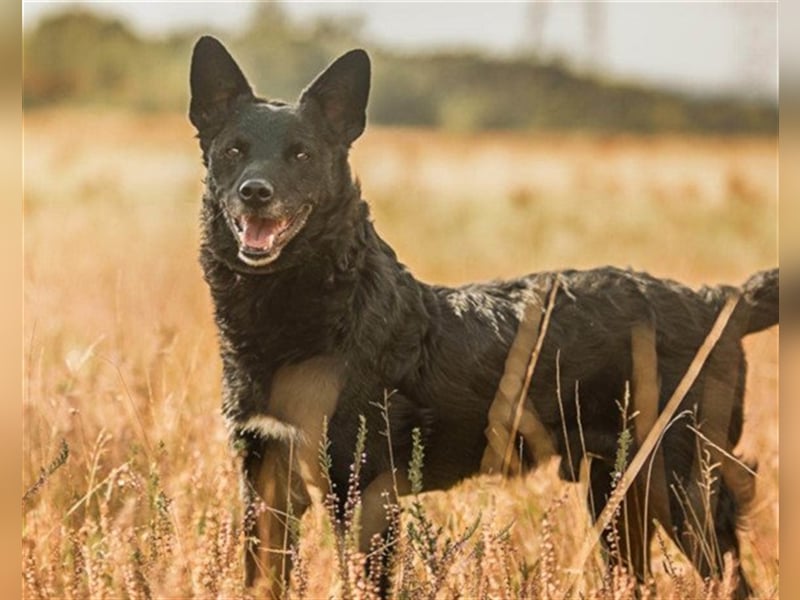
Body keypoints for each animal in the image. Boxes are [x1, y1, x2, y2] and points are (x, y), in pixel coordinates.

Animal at [188, 38, 776, 600]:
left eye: (301, 154)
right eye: (234, 150)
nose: (255, 193)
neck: (301, 312)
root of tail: (720, 301)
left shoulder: (364, 491)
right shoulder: (264, 487)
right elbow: (261, 580)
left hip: (685, 491)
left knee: (733, 582)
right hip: (618, 490)